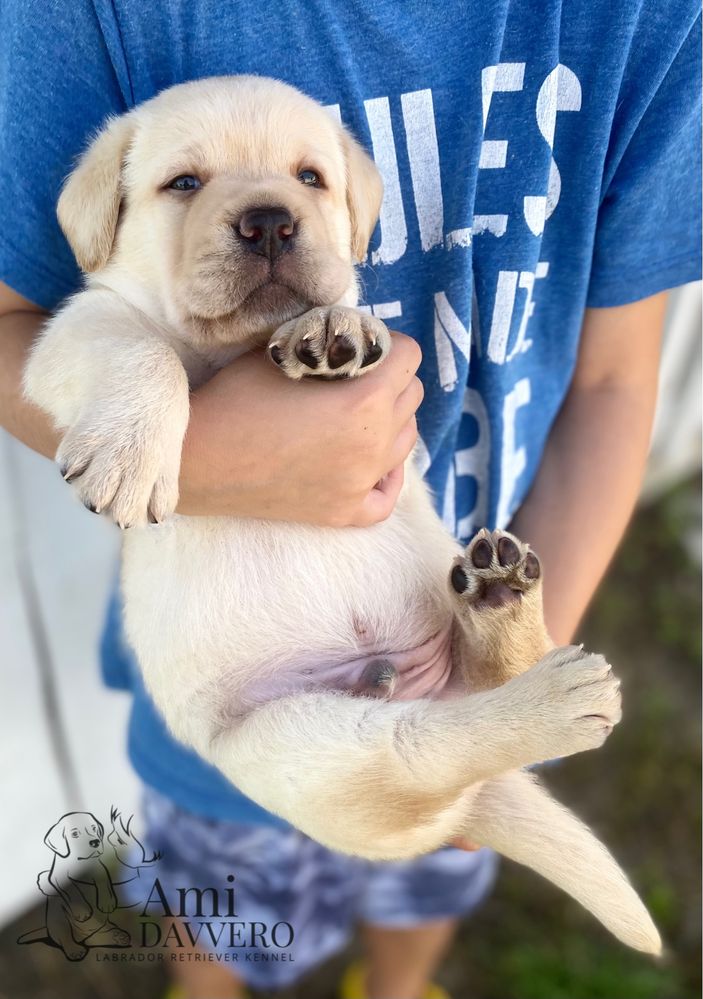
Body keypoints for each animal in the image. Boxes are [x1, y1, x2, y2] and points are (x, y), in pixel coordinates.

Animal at [22, 76, 660, 952]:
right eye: (183, 183)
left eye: (309, 179)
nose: (268, 220)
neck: (230, 348)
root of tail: (467, 809)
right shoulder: (75, 327)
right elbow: (139, 348)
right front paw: (131, 449)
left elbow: (345, 312)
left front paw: (333, 327)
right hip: (293, 745)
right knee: (415, 751)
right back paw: (541, 687)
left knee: (470, 692)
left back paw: (504, 603)